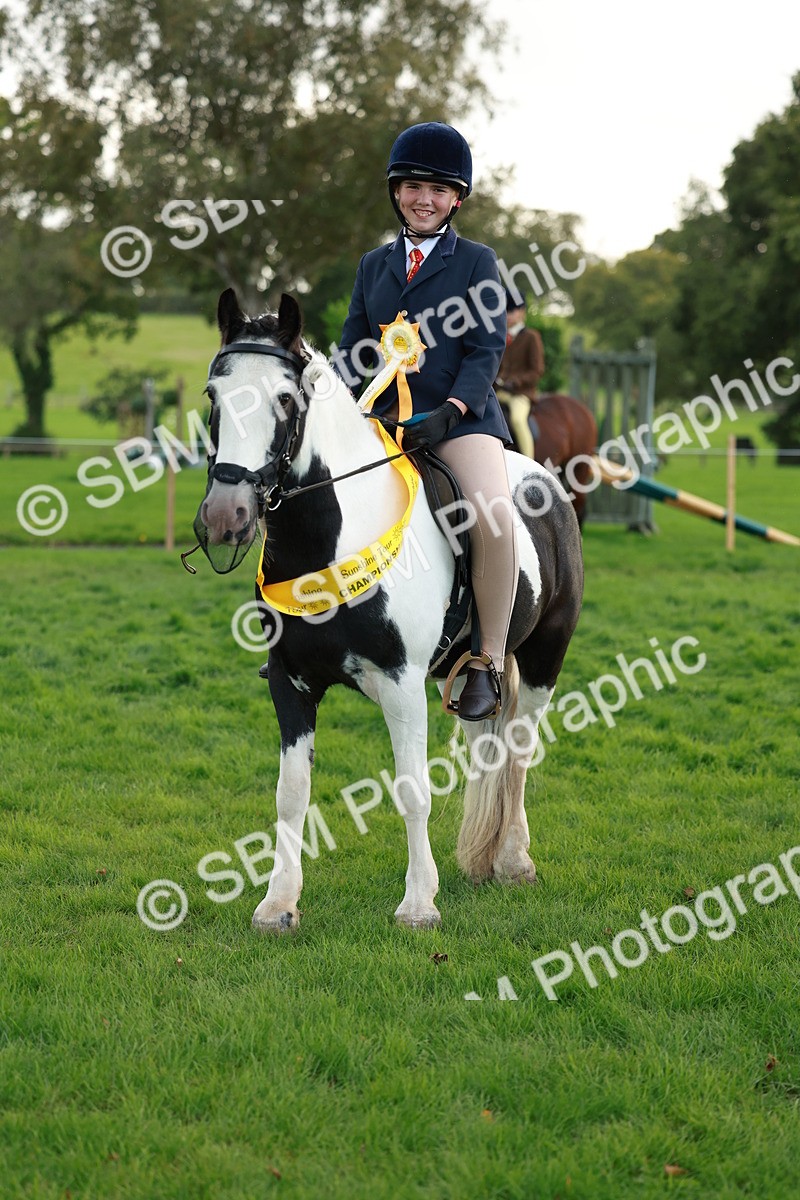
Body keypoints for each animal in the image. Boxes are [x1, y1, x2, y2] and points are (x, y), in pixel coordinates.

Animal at [189, 288, 584, 932]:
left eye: (284, 398)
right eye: (212, 396)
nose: (227, 515)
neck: (332, 538)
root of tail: (544, 479)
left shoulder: (401, 684)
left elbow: (412, 787)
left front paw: (420, 903)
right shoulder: (289, 683)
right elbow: (290, 793)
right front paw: (277, 904)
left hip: (546, 656)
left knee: (521, 751)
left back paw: (513, 860)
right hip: (469, 675)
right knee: (489, 745)